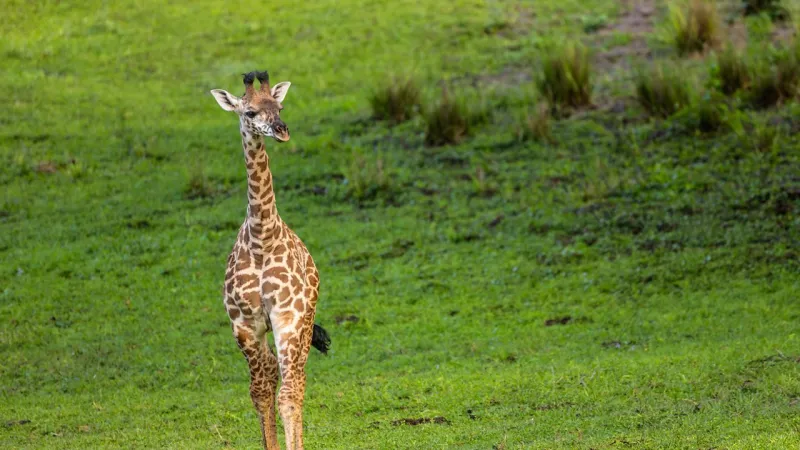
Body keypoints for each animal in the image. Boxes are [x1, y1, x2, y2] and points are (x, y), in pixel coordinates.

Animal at [210, 71, 330, 450]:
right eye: (249, 112)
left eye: (279, 107)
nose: (281, 129)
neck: (262, 239)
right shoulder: (244, 326)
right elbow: (260, 392)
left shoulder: (288, 318)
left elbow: (287, 396)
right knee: (273, 377)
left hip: (304, 323)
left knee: (296, 382)